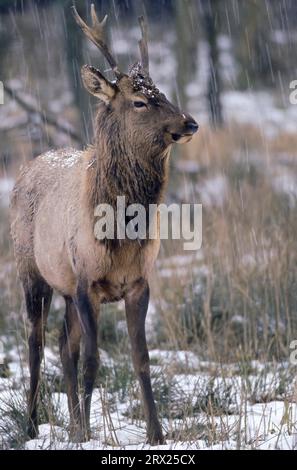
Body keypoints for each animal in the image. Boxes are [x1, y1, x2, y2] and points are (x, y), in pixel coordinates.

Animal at [10, 4, 198, 444]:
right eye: (139, 101)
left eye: (163, 93)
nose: (190, 123)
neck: (120, 235)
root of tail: (29, 164)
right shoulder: (86, 281)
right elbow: (94, 359)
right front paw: (88, 433)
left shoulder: (139, 281)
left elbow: (141, 358)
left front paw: (156, 433)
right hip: (31, 272)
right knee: (36, 344)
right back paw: (32, 425)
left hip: (63, 288)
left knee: (64, 345)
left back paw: (74, 425)